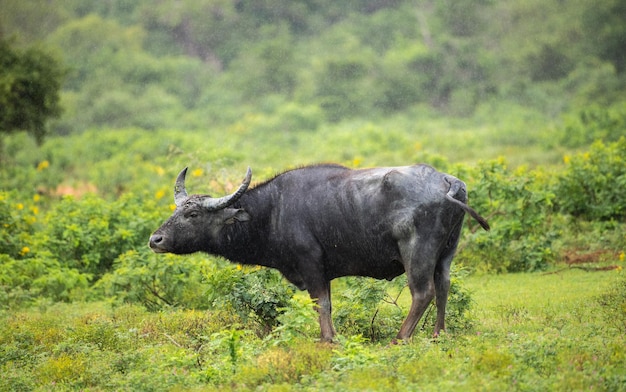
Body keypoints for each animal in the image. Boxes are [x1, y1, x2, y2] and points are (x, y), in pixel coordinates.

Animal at [147, 164, 488, 342]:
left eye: (193, 215)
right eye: (177, 210)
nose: (155, 239)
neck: (273, 211)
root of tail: (447, 181)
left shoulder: (310, 264)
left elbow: (319, 304)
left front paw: (326, 339)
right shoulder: (323, 272)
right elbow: (329, 305)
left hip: (416, 252)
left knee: (423, 292)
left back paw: (400, 337)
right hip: (446, 253)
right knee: (443, 287)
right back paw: (438, 333)